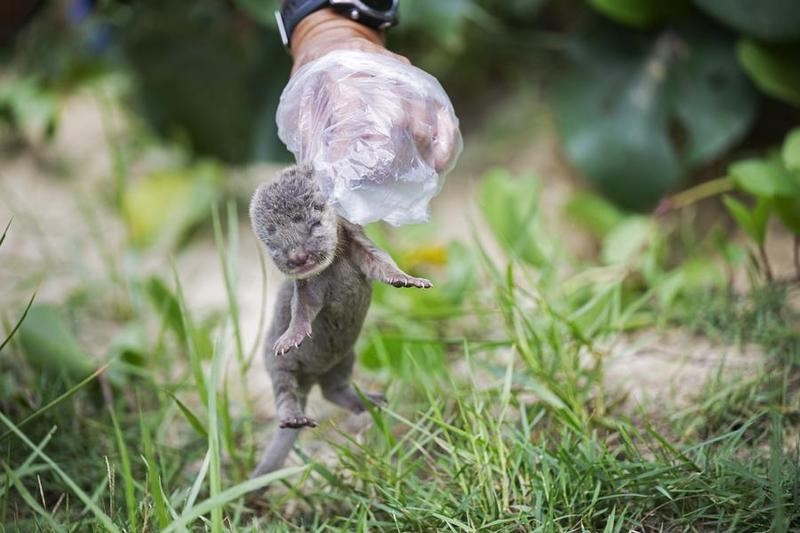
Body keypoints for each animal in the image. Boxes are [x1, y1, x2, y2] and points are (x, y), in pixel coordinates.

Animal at [248, 165, 431, 478]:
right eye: (271, 241)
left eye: (313, 223)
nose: (297, 256)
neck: (336, 264)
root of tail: (312, 378)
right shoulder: (306, 289)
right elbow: (302, 310)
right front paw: (291, 336)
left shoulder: (360, 244)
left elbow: (384, 265)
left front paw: (410, 279)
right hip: (277, 367)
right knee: (285, 392)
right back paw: (295, 418)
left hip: (346, 357)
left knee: (332, 389)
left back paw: (369, 401)